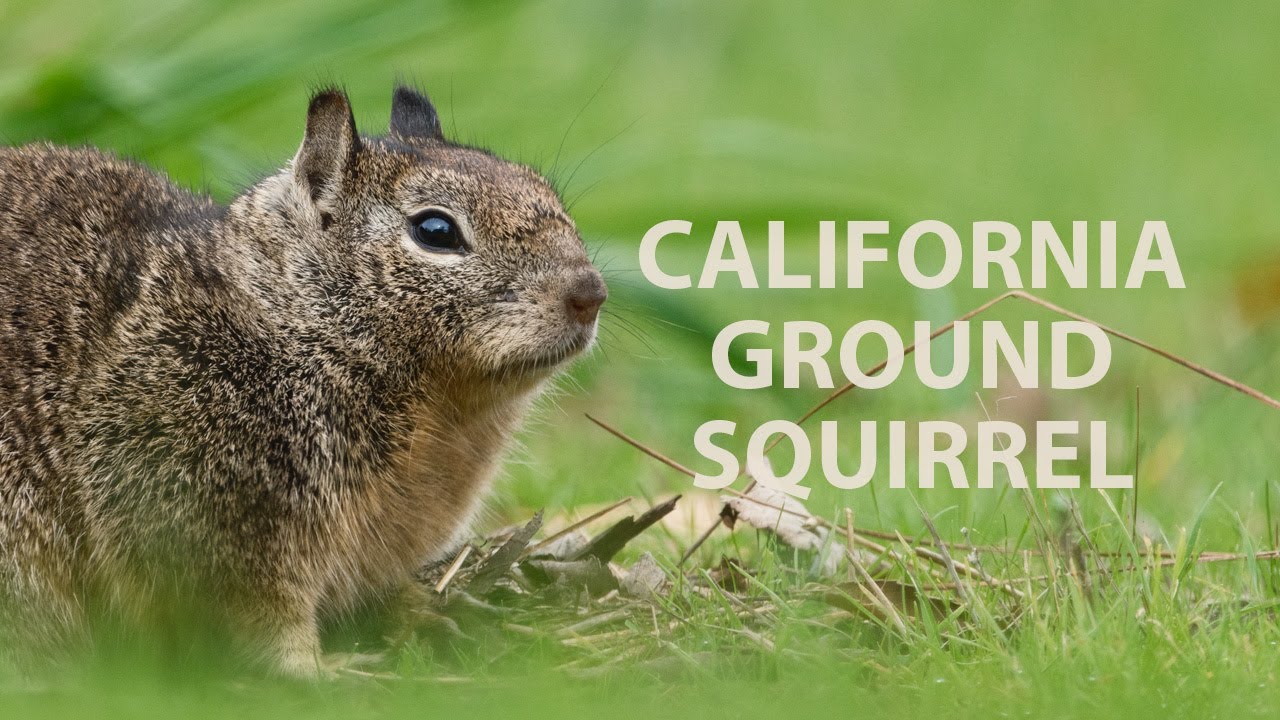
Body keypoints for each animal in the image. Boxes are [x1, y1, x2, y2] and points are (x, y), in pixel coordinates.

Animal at [0, 85, 606, 677]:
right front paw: (323, 672)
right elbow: (255, 621)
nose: (591, 293)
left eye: (542, 188)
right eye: (435, 231)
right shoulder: (216, 515)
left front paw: (436, 611)